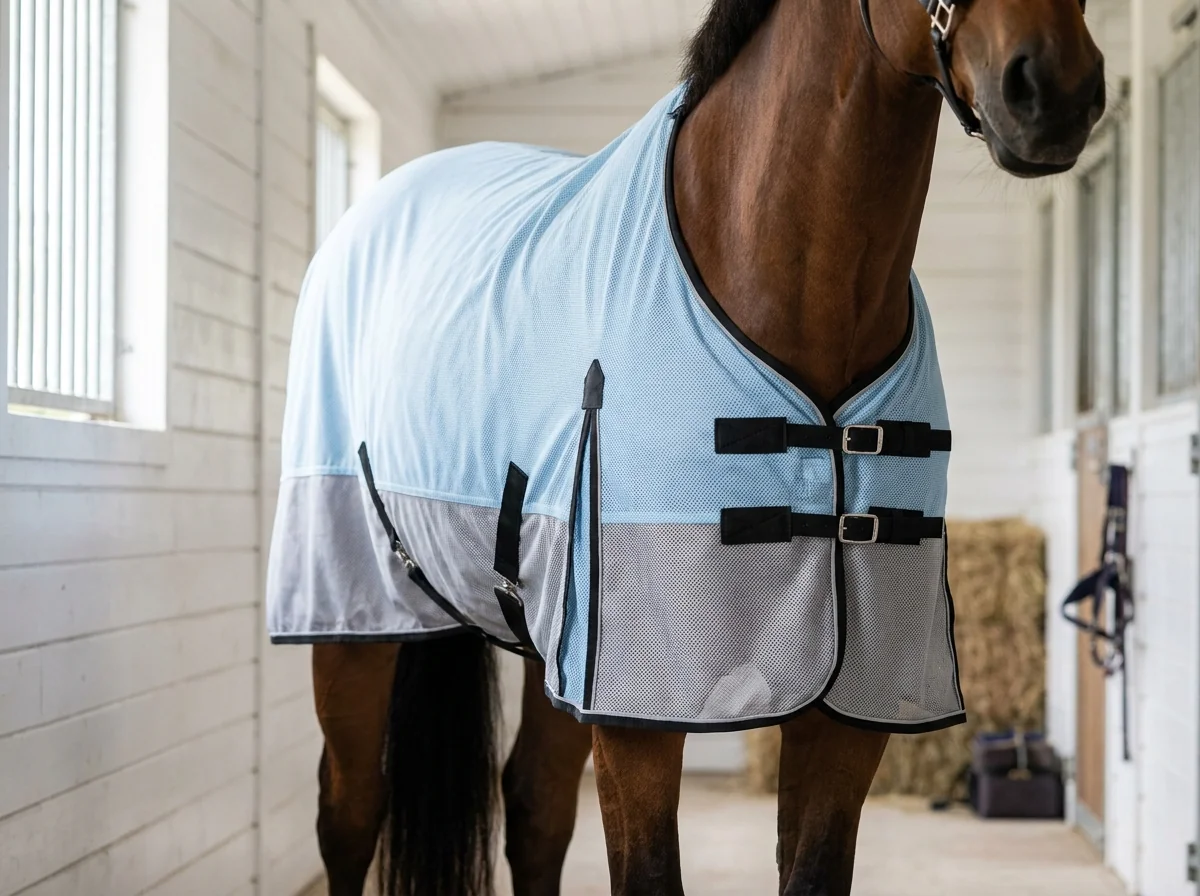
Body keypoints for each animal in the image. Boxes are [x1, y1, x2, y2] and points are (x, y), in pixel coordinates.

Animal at [282, 1, 1105, 894]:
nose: (1058, 91)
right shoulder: (639, 707)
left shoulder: (853, 701)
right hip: (356, 617)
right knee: (351, 810)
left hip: (553, 642)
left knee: (535, 808)